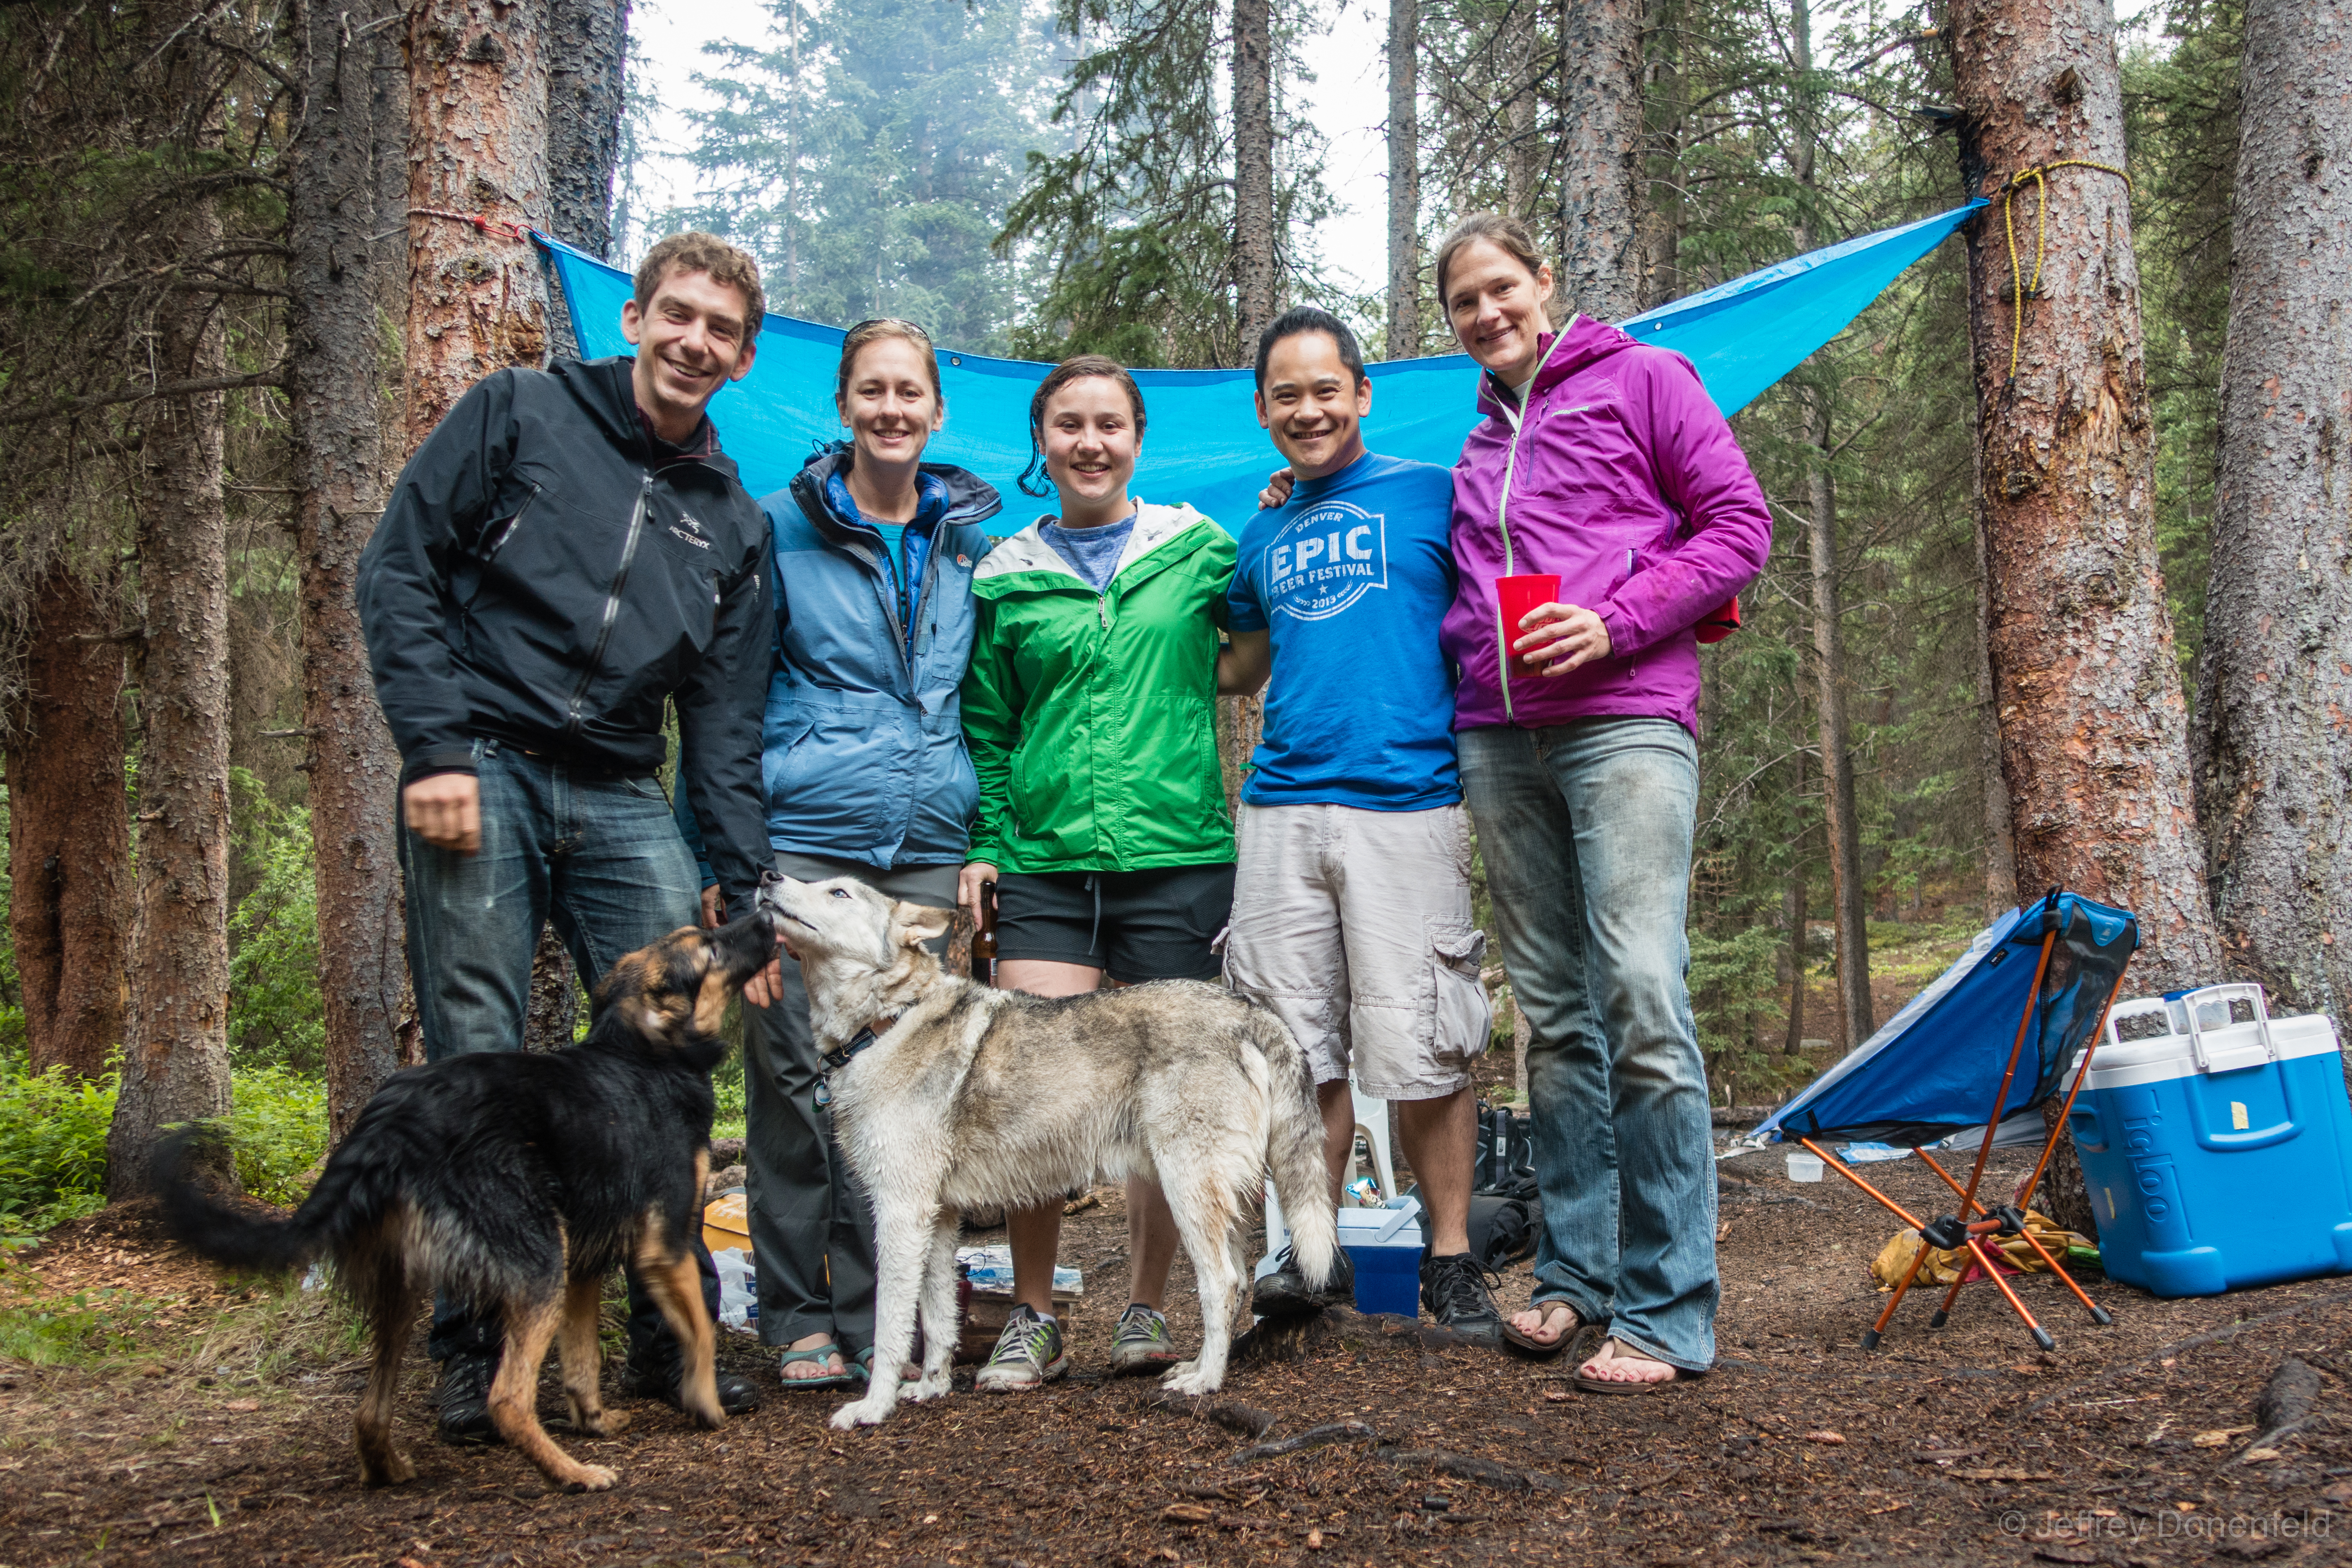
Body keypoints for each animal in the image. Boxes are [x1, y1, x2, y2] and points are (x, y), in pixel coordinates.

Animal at [158, 907, 781, 1495]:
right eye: (709, 947)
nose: (767, 911)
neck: (645, 1054)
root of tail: (395, 1119)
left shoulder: (583, 1265)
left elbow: (583, 1361)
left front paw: (596, 1421)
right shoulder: (664, 1243)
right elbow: (700, 1330)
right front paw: (705, 1404)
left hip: (409, 1283)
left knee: (369, 1410)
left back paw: (387, 1468)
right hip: (535, 1262)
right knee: (506, 1399)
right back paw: (572, 1473)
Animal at [762, 879, 1336, 1429]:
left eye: (839, 892)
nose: (767, 878)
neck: (887, 1023)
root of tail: (1250, 1011)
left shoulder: (900, 1212)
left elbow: (889, 1329)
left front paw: (873, 1408)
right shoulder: (938, 1219)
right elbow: (938, 1320)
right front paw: (930, 1388)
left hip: (1186, 1190)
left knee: (1222, 1283)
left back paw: (1206, 1382)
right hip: (1218, 1200)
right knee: (1237, 1284)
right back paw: (1197, 1367)